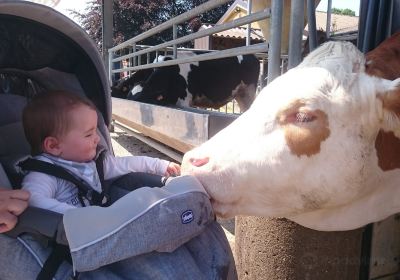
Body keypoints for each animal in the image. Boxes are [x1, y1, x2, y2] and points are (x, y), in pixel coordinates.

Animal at [110, 52, 260, 112]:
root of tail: (253, 56)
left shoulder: (184, 102)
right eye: (128, 97)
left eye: (142, 101)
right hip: (240, 95)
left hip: (249, 92)